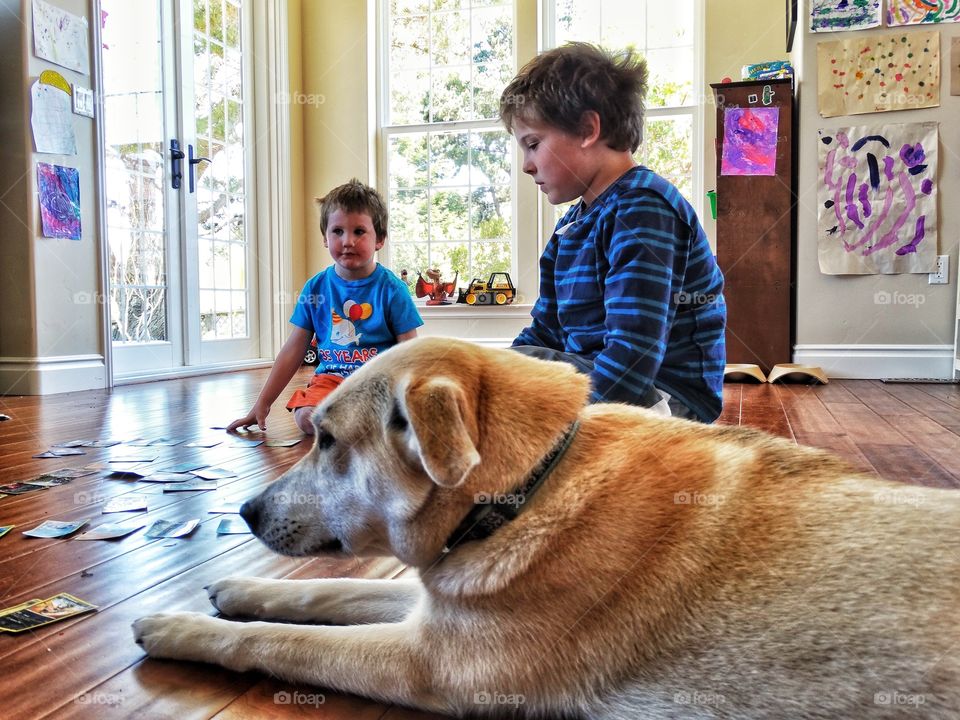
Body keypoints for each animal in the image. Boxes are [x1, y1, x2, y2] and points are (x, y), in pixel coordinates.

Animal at [133, 338, 960, 720]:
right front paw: (232, 587)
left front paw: (176, 627)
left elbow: (280, 641)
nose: (245, 512)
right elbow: (322, 595)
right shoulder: (440, 601)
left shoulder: (430, 661)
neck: (528, 487)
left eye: (328, 440)